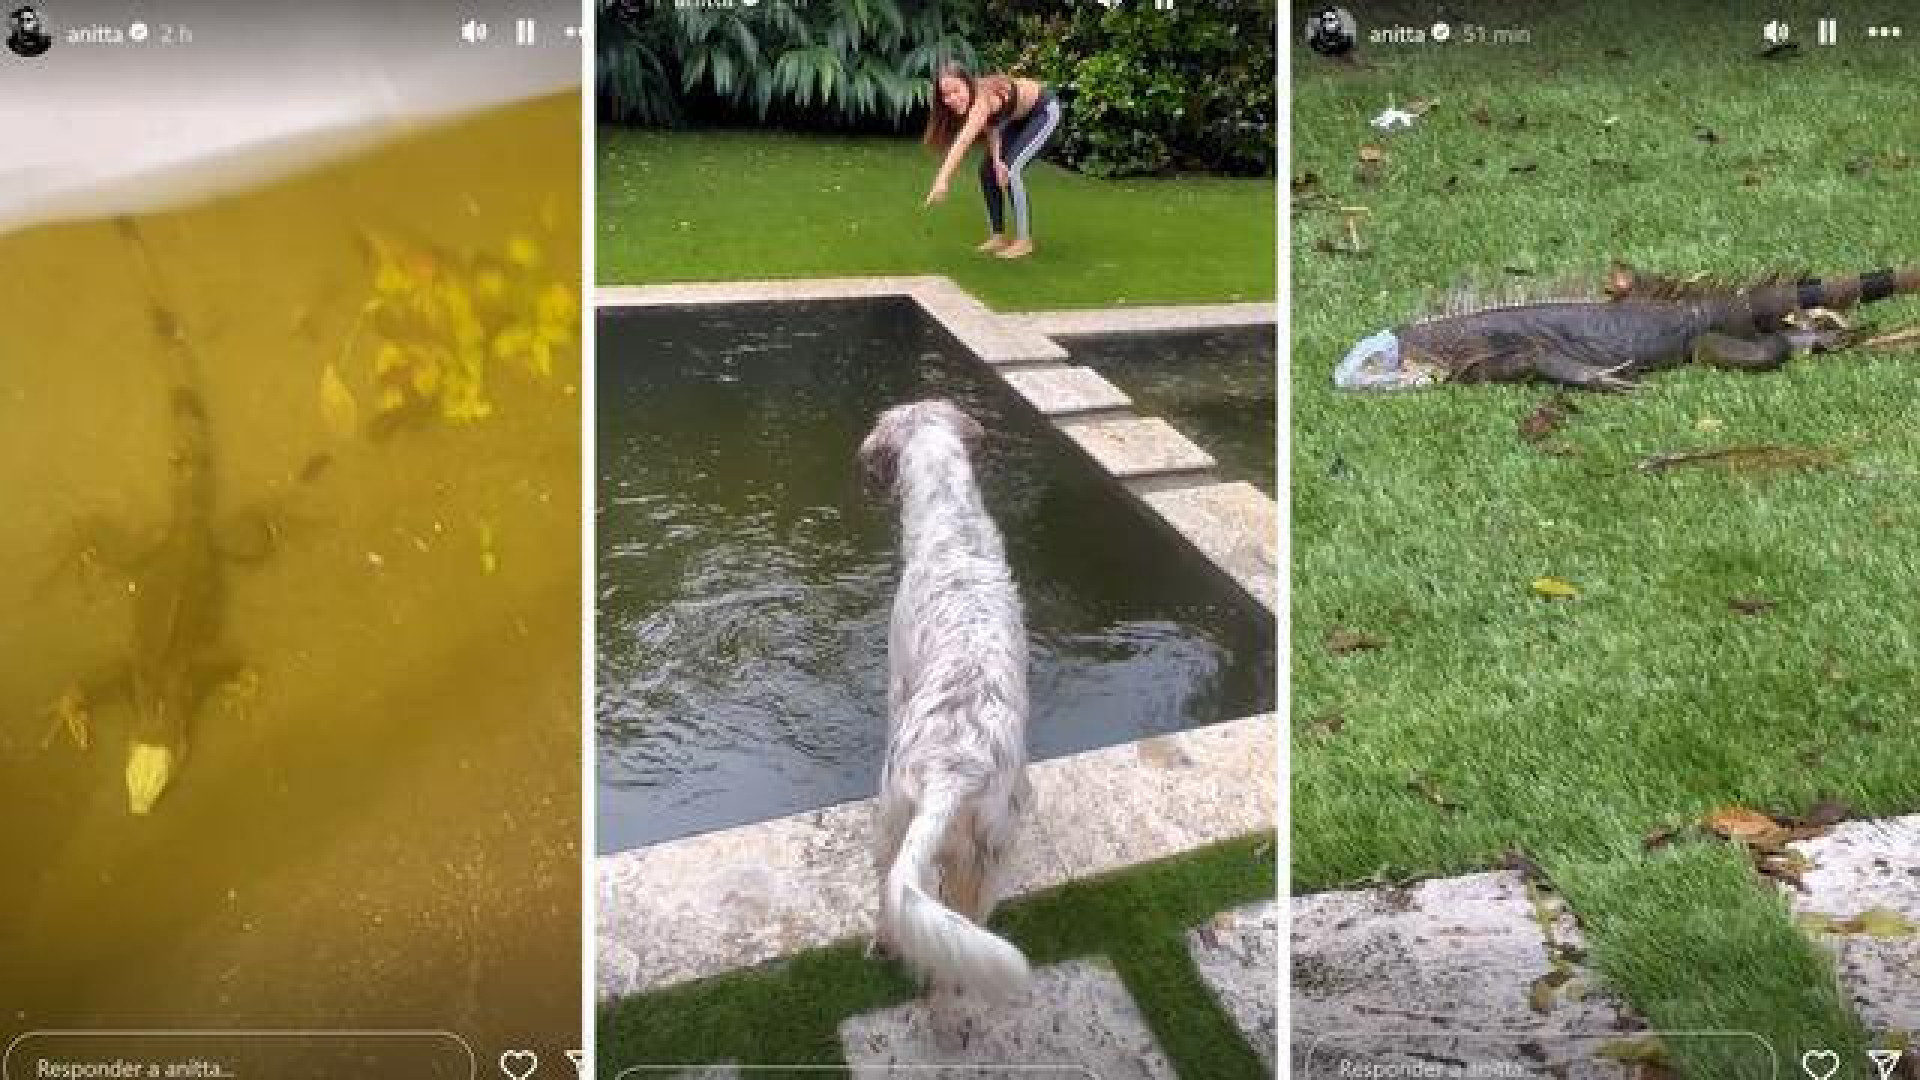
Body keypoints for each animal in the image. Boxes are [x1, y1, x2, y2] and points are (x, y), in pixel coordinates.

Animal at [860, 397, 1036, 999]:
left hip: (890, 825)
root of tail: (952, 771)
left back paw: (886, 947)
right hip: (988, 858)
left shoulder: (896, 681)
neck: (953, 530)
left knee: (891, 905)